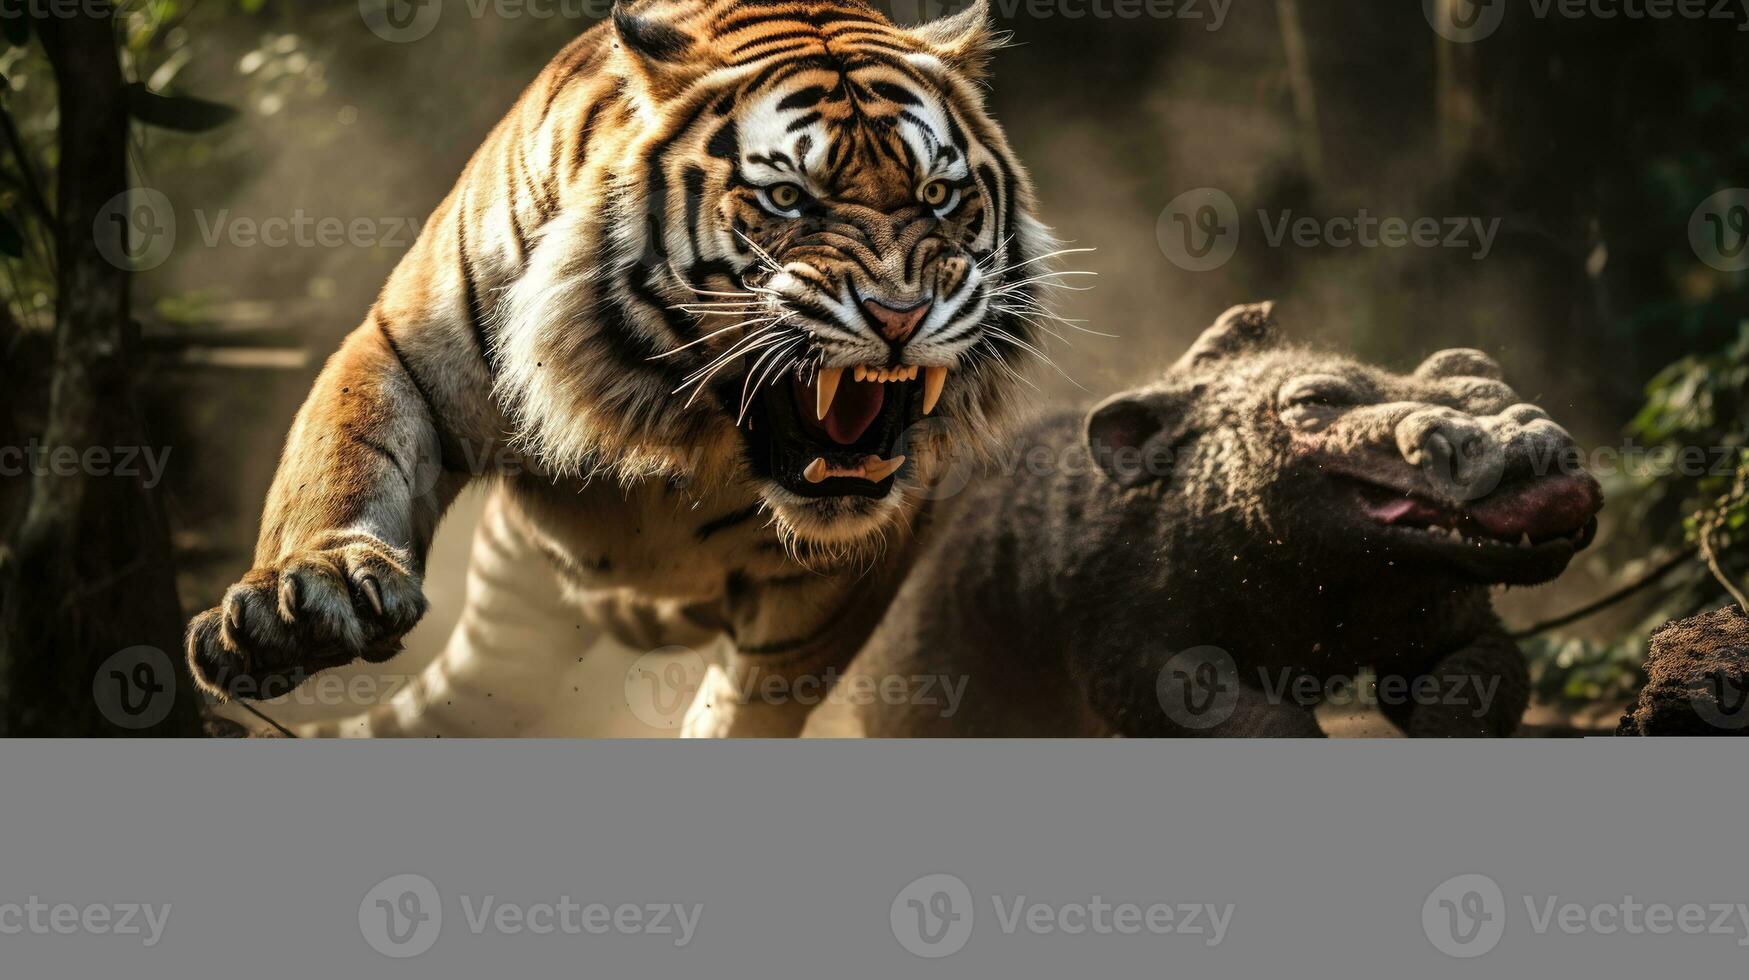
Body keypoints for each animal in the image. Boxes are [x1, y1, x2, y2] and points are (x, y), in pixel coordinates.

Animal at [193, 0, 1063, 735]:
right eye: (786, 198)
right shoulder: (404, 346)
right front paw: (306, 597)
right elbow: (343, 455)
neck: (679, 418)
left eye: (938, 192)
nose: (899, 315)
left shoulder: (847, 568)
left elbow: (755, 700)